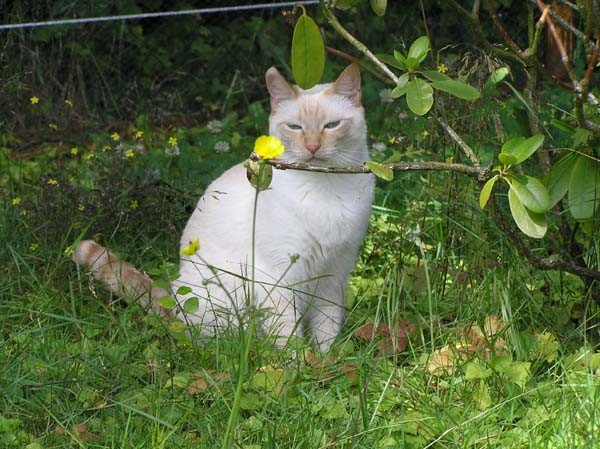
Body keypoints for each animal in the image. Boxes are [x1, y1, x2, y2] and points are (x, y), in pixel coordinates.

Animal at [74, 64, 376, 350]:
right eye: (295, 127)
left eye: (331, 125)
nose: (313, 147)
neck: (325, 187)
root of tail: (174, 304)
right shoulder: (278, 277)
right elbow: (288, 337)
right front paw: (297, 365)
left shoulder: (336, 272)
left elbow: (326, 329)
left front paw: (326, 361)